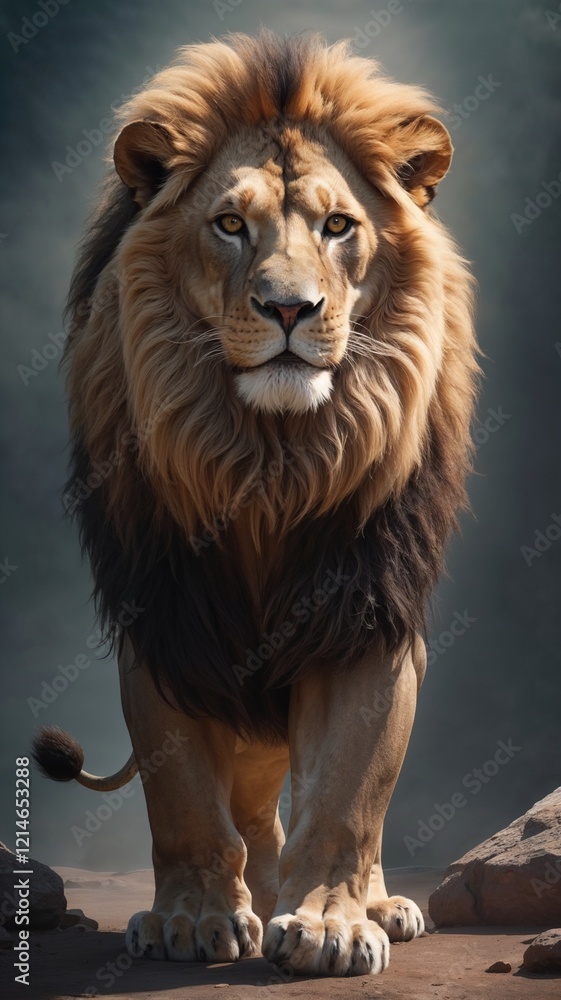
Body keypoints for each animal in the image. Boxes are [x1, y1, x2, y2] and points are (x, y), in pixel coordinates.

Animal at [33, 32, 478, 977]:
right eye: (230, 225)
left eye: (338, 227)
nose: (287, 308)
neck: (270, 461)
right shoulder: (165, 616)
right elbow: (182, 800)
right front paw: (192, 917)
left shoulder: (363, 610)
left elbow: (348, 792)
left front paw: (328, 923)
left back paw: (376, 904)